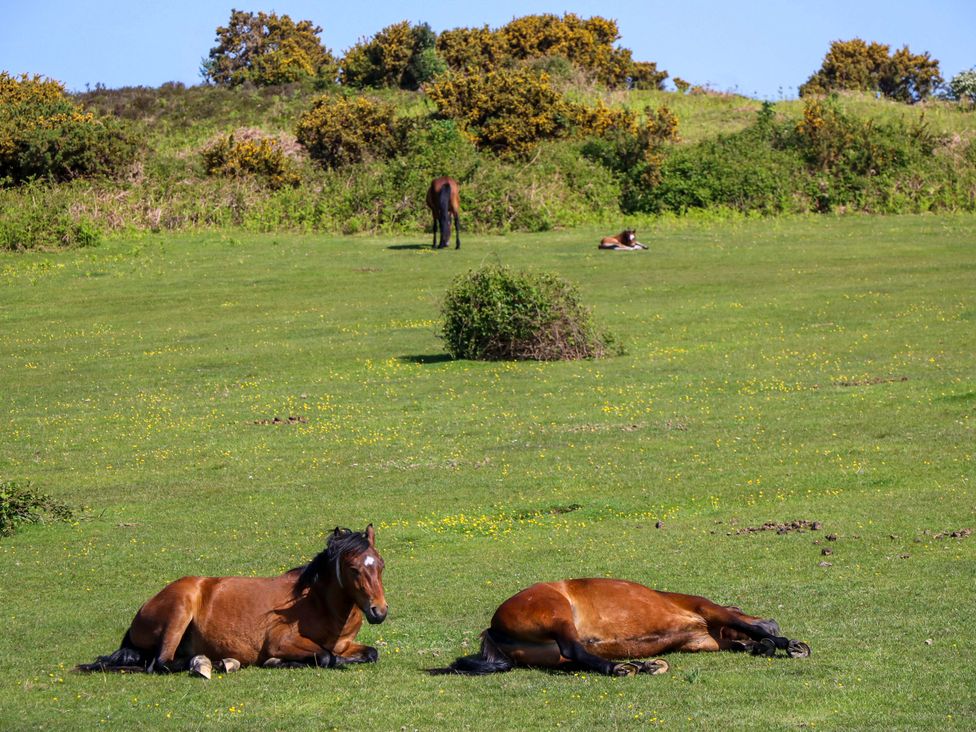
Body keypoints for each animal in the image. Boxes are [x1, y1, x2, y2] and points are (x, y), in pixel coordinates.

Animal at [77, 526, 387, 676]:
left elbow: (370, 653)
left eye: (381, 565)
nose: (379, 611)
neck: (319, 604)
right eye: (354, 569)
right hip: (180, 610)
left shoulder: (345, 644)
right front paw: (278, 662)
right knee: (162, 663)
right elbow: (325, 656)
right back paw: (212, 664)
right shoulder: (281, 640)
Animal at [433, 578, 810, 677]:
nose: (773, 620)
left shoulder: (702, 642)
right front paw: (786, 643)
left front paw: (762, 644)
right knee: (574, 648)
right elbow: (748, 628)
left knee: (574, 659)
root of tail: (493, 629)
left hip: (549, 654)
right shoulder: (707, 609)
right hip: (557, 615)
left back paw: (642, 665)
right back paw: (623, 668)